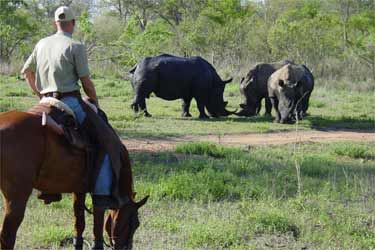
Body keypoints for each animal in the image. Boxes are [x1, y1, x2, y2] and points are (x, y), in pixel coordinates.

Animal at [0, 112, 149, 250]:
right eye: (136, 223)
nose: (126, 248)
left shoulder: (79, 190)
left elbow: (79, 222)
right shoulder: (100, 194)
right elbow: (97, 226)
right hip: (17, 197)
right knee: (7, 235)